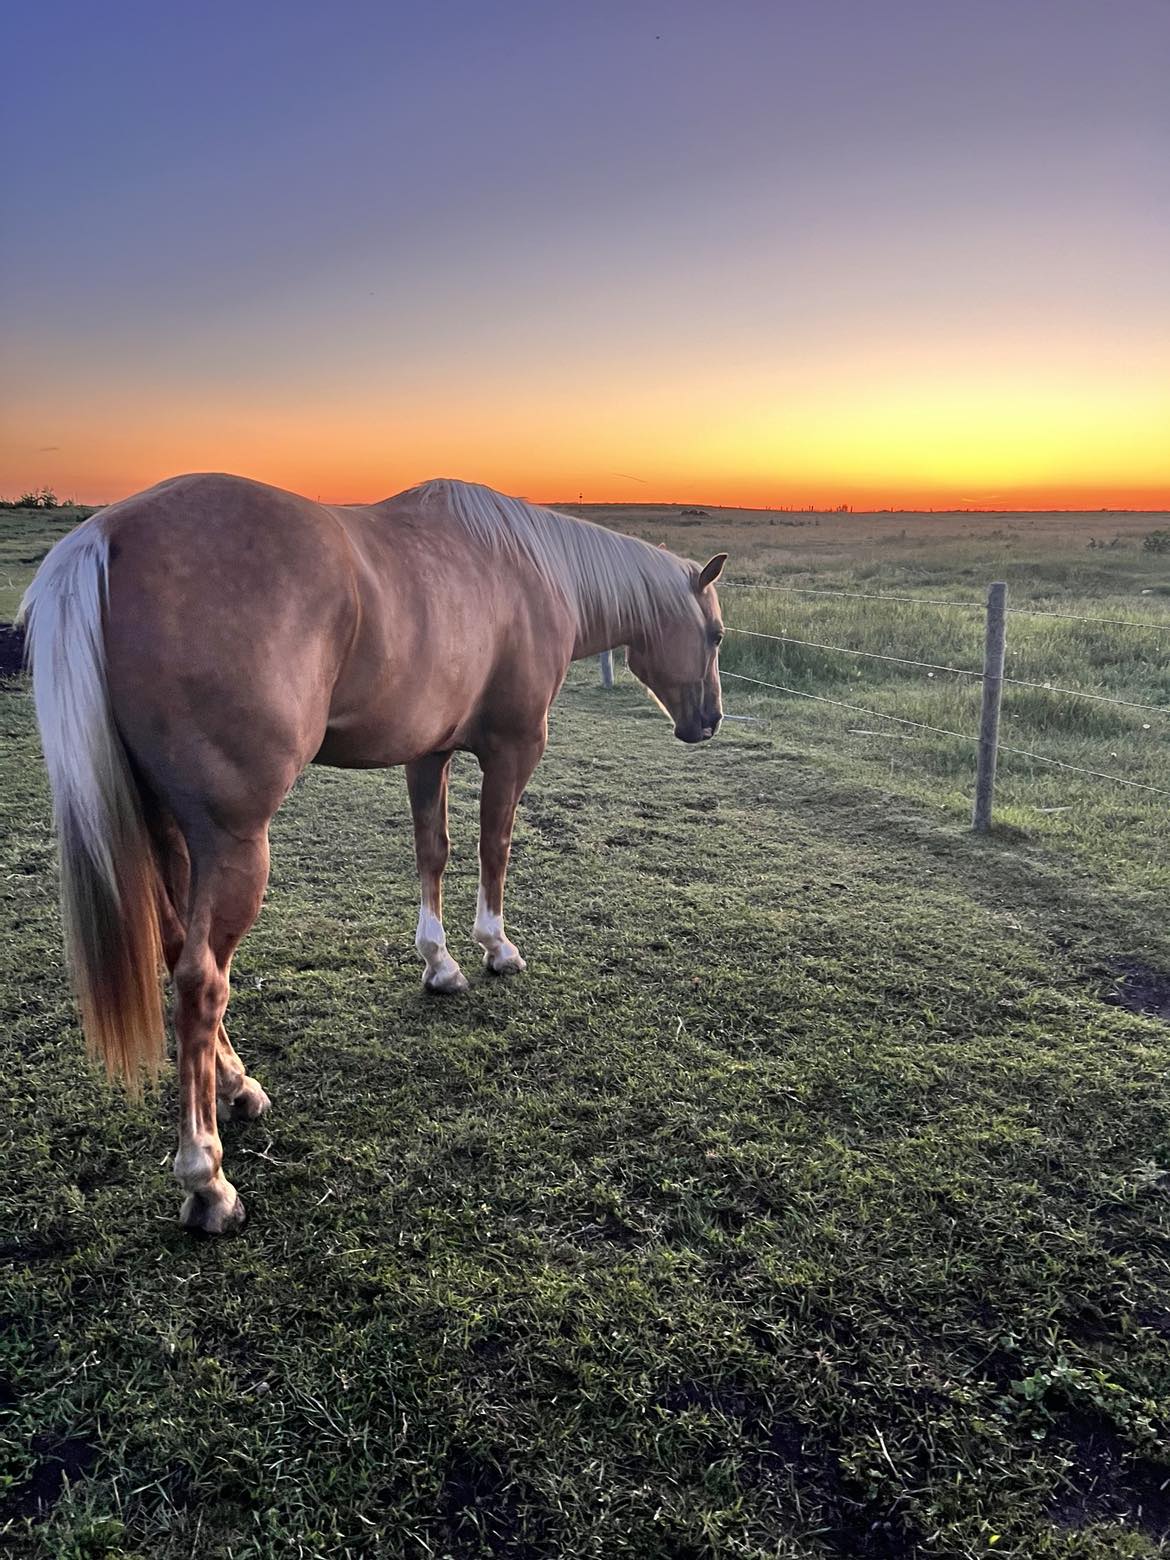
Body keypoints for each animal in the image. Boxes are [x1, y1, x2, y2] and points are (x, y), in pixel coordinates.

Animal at [20, 474, 723, 1229]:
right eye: (713, 634)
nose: (709, 720)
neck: (533, 570)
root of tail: (107, 535)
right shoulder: (513, 749)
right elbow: (495, 845)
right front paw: (496, 948)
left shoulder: (428, 752)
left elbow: (433, 851)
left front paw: (440, 963)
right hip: (232, 841)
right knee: (201, 984)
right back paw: (207, 1179)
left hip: (169, 829)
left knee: (180, 952)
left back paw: (239, 1089)